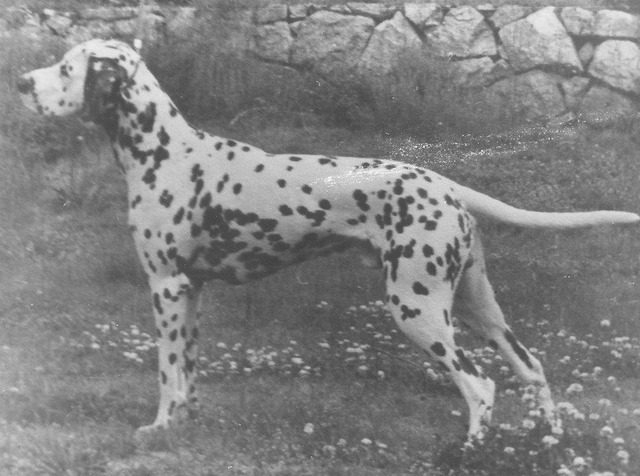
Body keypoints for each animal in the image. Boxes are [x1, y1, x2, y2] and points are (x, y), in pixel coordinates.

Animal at [17, 41, 636, 438]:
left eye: (66, 68)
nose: (21, 82)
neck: (165, 152)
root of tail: (444, 182)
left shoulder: (166, 288)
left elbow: (168, 375)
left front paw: (158, 431)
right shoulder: (189, 293)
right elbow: (187, 372)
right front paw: (184, 428)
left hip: (418, 309)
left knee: (479, 386)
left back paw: (471, 451)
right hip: (478, 308)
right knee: (532, 369)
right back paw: (548, 441)